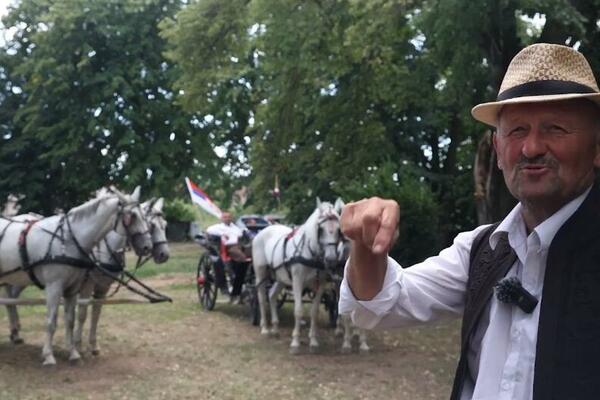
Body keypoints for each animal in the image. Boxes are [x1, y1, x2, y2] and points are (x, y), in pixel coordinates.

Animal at [0, 188, 150, 366]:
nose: (147, 246)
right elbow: (51, 321)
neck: (69, 240)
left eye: (144, 215)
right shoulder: (54, 286)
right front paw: (48, 355)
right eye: (132, 216)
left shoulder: (72, 288)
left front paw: (73, 353)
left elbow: (70, 320)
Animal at [75, 195, 170, 354]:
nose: (165, 255)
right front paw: (76, 346)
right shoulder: (86, 285)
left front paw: (93, 345)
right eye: (151, 225)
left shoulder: (103, 286)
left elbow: (96, 313)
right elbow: (82, 314)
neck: (103, 250)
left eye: (165, 224)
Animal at [252, 199, 342, 354]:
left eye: (338, 229)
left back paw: (275, 328)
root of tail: (262, 231)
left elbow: (314, 312)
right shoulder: (297, 282)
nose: (330, 259)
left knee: (272, 295)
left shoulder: (320, 284)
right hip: (261, 273)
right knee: (262, 298)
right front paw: (295, 343)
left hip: (281, 278)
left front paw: (313, 342)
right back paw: (265, 328)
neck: (309, 252)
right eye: (321, 229)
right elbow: (298, 311)